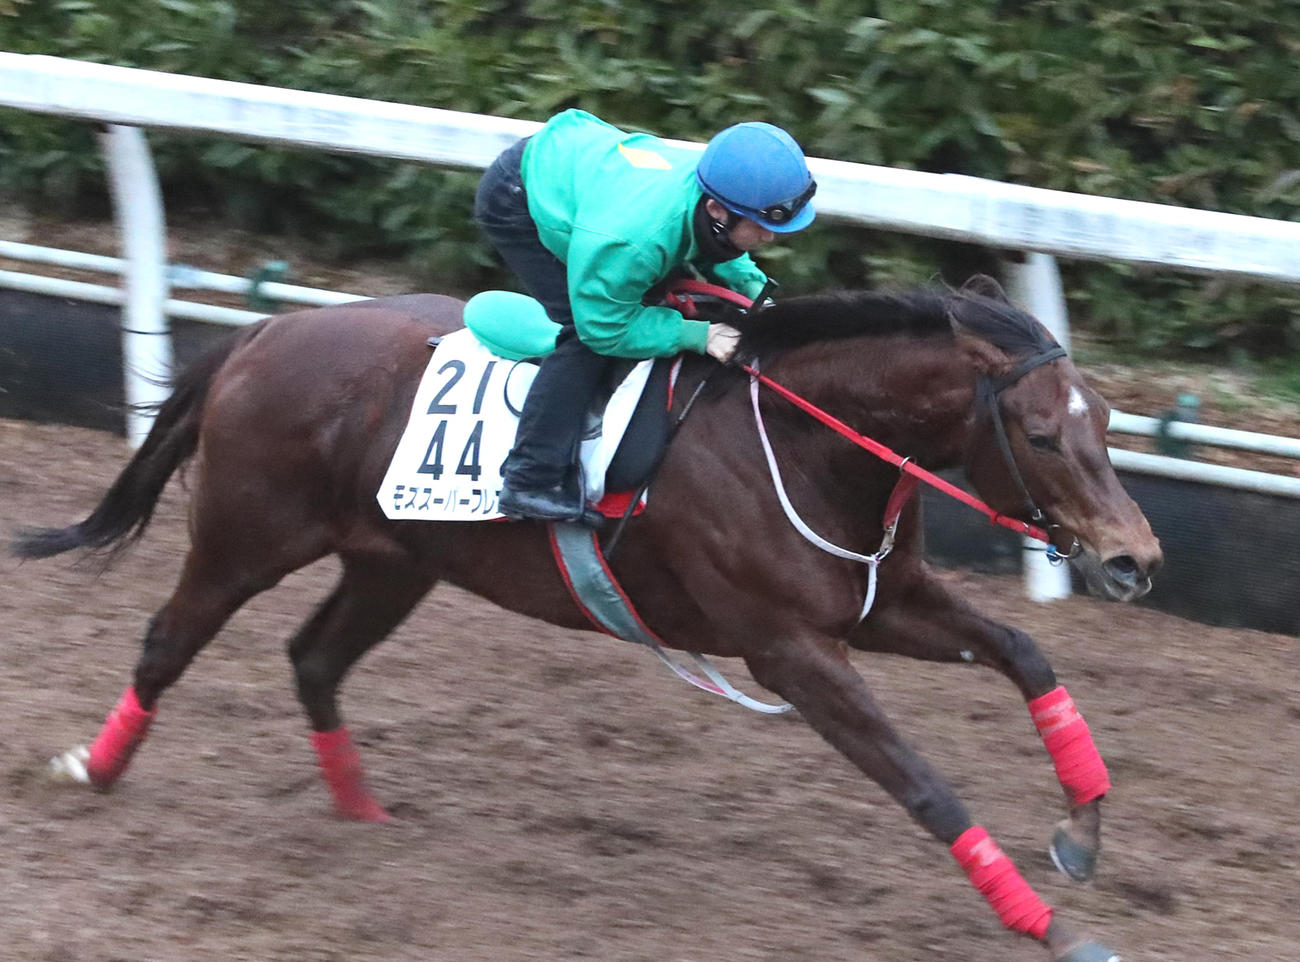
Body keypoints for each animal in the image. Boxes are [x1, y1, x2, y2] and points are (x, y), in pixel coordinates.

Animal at [13, 279, 1161, 962]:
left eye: (1107, 420)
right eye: (1041, 432)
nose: (1133, 559)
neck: (801, 441)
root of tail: (264, 331)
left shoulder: (879, 602)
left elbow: (1025, 651)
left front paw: (1079, 834)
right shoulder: (787, 649)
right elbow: (924, 783)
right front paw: (1051, 926)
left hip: (396, 561)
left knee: (314, 658)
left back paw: (363, 814)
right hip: (245, 541)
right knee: (168, 642)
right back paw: (90, 769)